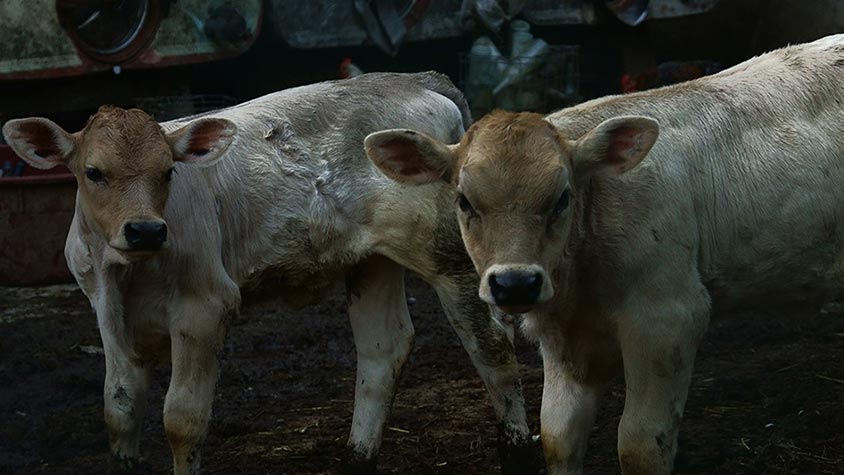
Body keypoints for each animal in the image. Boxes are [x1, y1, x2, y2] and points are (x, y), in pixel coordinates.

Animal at [2, 72, 538, 475]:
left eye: (167, 171)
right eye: (93, 173)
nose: (145, 230)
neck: (128, 272)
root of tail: (414, 79)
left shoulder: (205, 307)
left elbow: (183, 419)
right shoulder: (105, 309)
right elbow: (119, 408)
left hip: (446, 255)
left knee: (492, 347)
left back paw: (516, 450)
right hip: (373, 260)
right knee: (383, 347)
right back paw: (356, 458)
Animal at [363, 35, 844, 474]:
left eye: (562, 198)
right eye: (464, 201)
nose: (516, 283)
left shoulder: (668, 318)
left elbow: (640, 446)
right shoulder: (562, 340)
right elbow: (557, 436)